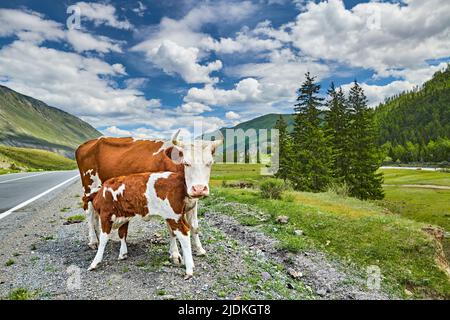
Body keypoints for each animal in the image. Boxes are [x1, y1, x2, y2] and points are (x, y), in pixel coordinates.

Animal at [76, 130, 222, 262]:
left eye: (210, 163)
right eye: (186, 163)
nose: (199, 188)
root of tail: (89, 143)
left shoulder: (192, 201)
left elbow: (194, 226)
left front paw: (199, 249)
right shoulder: (168, 205)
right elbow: (172, 230)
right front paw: (175, 254)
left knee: (95, 215)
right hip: (89, 187)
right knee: (90, 214)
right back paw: (93, 241)